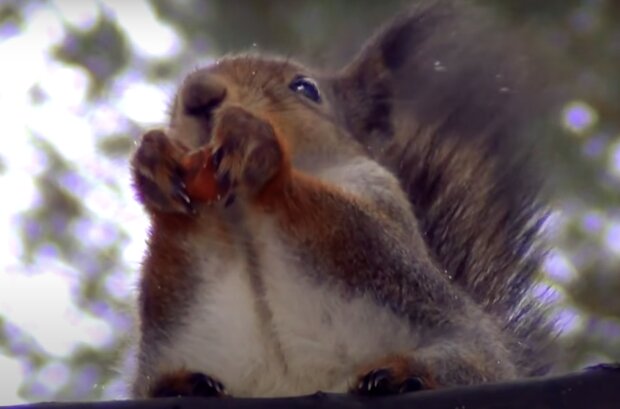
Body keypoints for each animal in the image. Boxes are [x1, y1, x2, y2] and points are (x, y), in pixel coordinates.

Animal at [128, 0, 556, 398]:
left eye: (305, 88)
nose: (198, 93)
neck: (243, 218)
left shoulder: (386, 212)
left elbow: (358, 234)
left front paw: (259, 148)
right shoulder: (177, 314)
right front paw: (155, 162)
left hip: (467, 353)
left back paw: (405, 377)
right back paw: (178, 386)